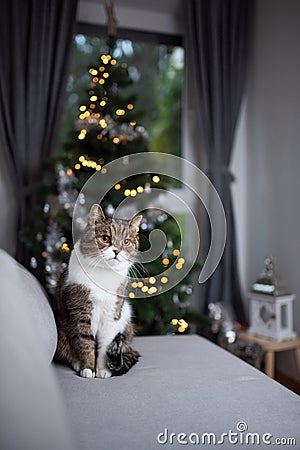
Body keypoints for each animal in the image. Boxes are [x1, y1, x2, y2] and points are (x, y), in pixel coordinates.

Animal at [53, 206, 142, 378]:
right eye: (105, 238)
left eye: (126, 242)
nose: (117, 250)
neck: (103, 273)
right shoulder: (81, 310)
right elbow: (85, 341)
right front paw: (88, 368)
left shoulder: (113, 313)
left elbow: (105, 343)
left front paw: (103, 370)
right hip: (61, 335)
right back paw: (77, 363)